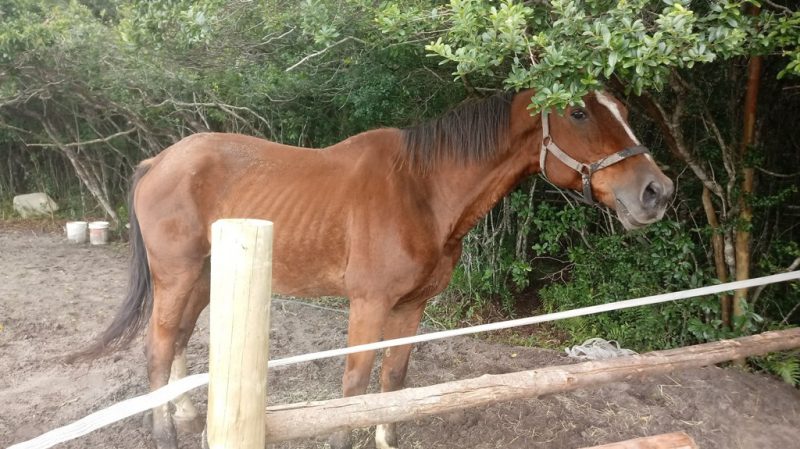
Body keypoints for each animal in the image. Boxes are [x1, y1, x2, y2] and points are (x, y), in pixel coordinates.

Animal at [74, 89, 673, 449]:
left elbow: (394, 380)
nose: (657, 191)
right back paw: (164, 433)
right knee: (158, 347)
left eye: (622, 110)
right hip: (177, 277)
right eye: (579, 112)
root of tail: (160, 160)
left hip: (202, 278)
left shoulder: (411, 307)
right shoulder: (368, 305)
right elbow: (355, 383)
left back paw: (185, 416)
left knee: (176, 342)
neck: (421, 189)